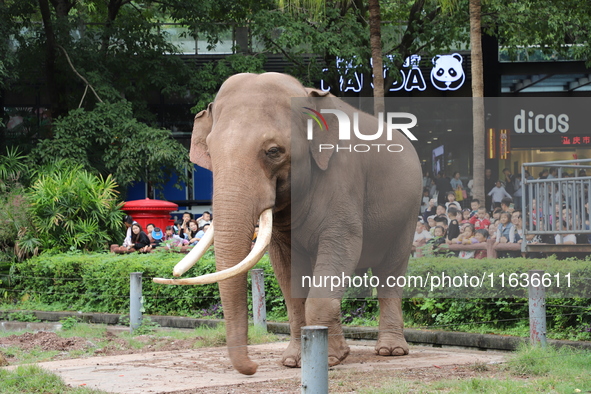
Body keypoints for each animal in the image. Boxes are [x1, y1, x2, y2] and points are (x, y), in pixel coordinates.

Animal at [155, 72, 424, 378]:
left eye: (273, 151)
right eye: (210, 152)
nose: (254, 367)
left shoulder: (344, 180)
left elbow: (342, 247)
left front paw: (330, 359)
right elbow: (290, 277)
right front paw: (295, 361)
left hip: (408, 213)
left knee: (390, 272)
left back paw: (391, 351)